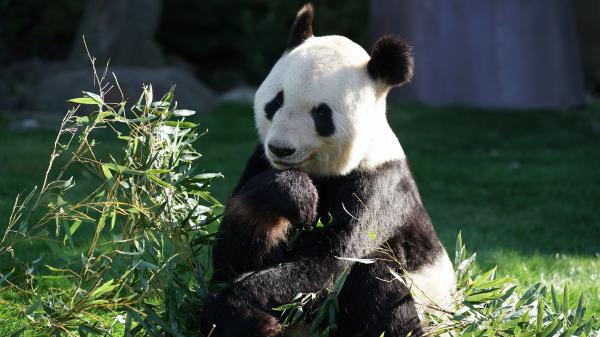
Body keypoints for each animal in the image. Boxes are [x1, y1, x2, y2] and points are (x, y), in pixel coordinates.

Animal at [202, 3, 454, 336]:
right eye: (275, 101)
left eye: (321, 114)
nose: (281, 149)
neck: (324, 172)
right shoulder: (257, 163)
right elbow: (235, 252)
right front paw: (295, 195)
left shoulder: (376, 186)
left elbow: (329, 262)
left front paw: (239, 310)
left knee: (376, 279)